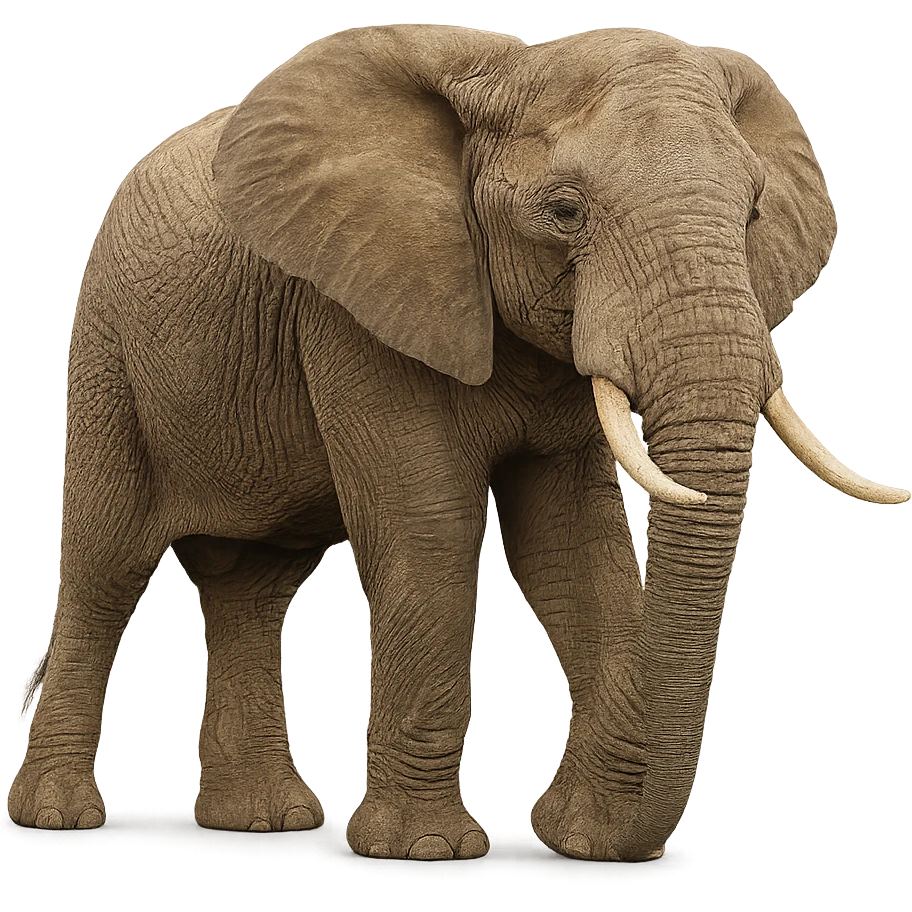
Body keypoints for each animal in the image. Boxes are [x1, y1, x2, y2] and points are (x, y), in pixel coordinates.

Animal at [11, 24, 907, 862]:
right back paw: (59, 816)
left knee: (254, 584)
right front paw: (427, 849)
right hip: (107, 351)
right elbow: (430, 531)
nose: (639, 843)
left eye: (753, 212)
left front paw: (584, 841)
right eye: (565, 212)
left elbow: (572, 548)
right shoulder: (359, 305)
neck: (509, 64)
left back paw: (264, 819)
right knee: (105, 565)